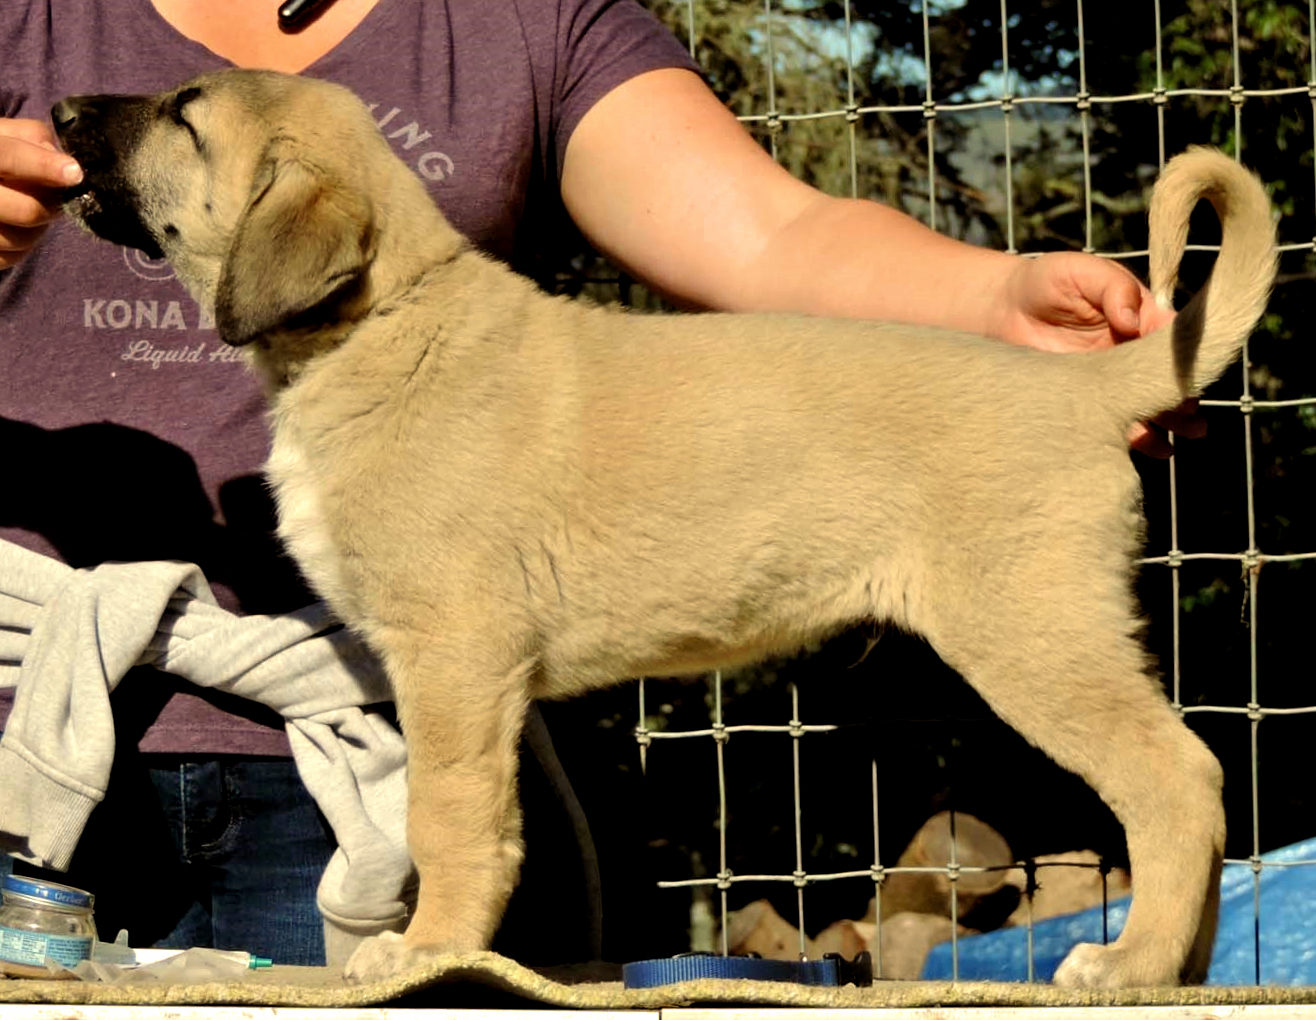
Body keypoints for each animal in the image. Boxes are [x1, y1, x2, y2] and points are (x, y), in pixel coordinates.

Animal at [53, 65, 1273, 989]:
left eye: (184, 115)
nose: (57, 112)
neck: (381, 323)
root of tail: (1084, 387)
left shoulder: (454, 657)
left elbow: (447, 821)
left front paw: (425, 951)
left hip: (1036, 633)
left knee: (1179, 780)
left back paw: (1131, 965)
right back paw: (1181, 967)